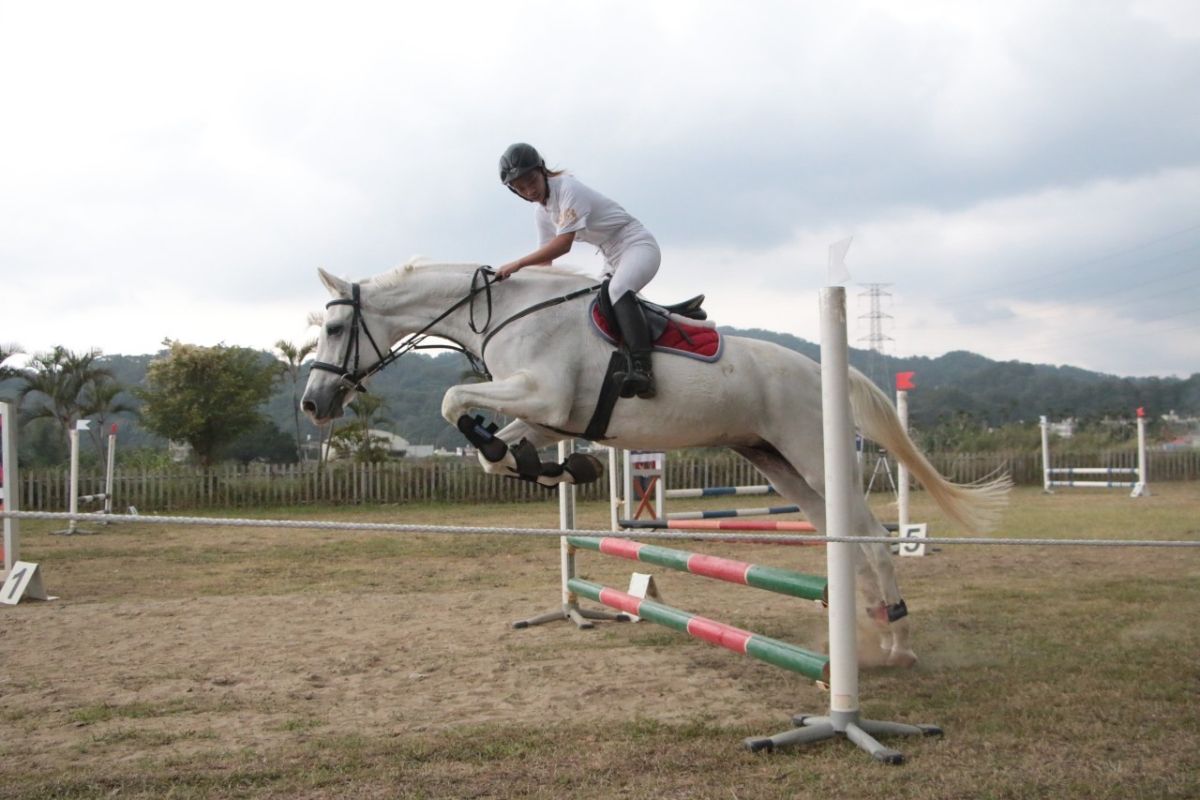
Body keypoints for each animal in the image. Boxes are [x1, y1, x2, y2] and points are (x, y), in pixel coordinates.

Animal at [300, 259, 1011, 666]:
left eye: (334, 331)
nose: (313, 403)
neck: (503, 315)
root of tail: (821, 370)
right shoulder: (545, 411)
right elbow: (489, 448)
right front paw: (558, 467)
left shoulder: (543, 394)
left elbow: (452, 401)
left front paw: (535, 459)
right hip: (778, 462)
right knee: (848, 537)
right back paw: (872, 629)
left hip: (811, 454)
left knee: (871, 535)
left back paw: (898, 639)